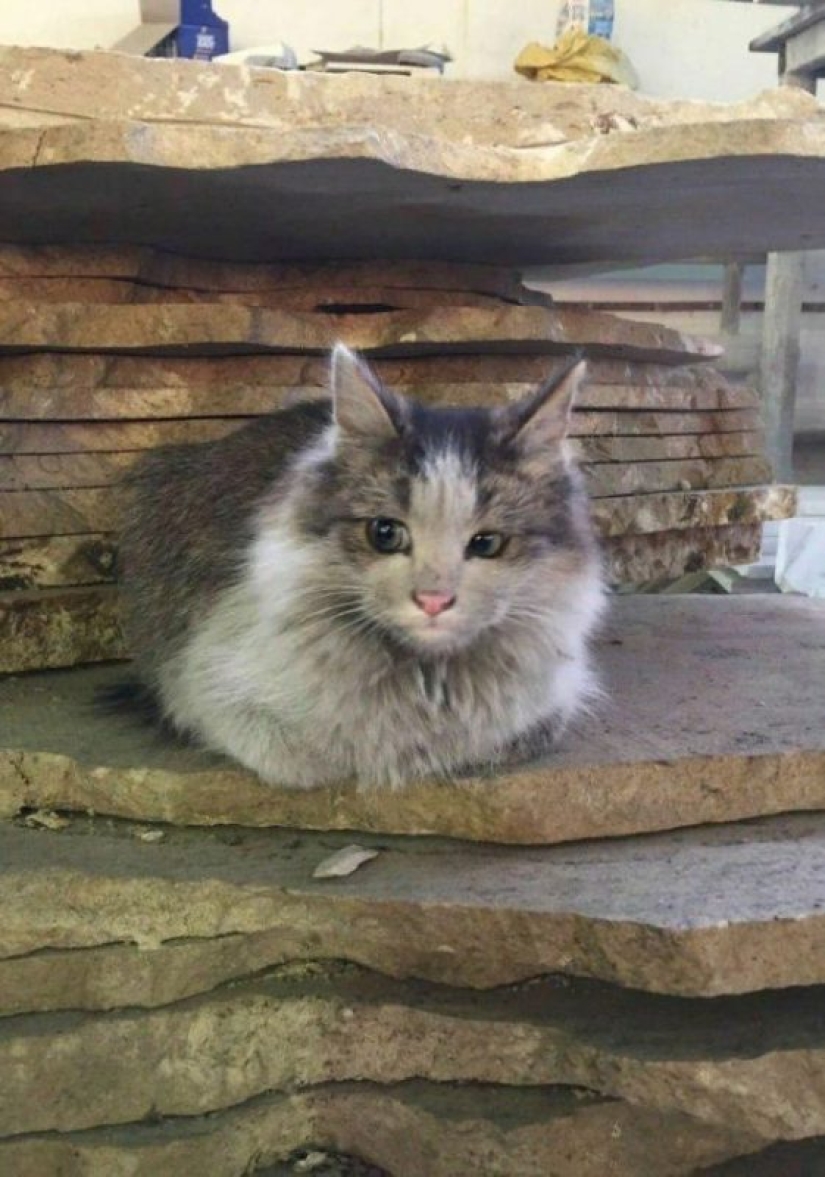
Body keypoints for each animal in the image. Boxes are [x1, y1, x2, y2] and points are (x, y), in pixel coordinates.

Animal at [117, 346, 607, 790]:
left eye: (487, 543)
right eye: (384, 533)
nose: (433, 600)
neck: (426, 678)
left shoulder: (553, 700)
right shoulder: (201, 683)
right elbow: (297, 760)